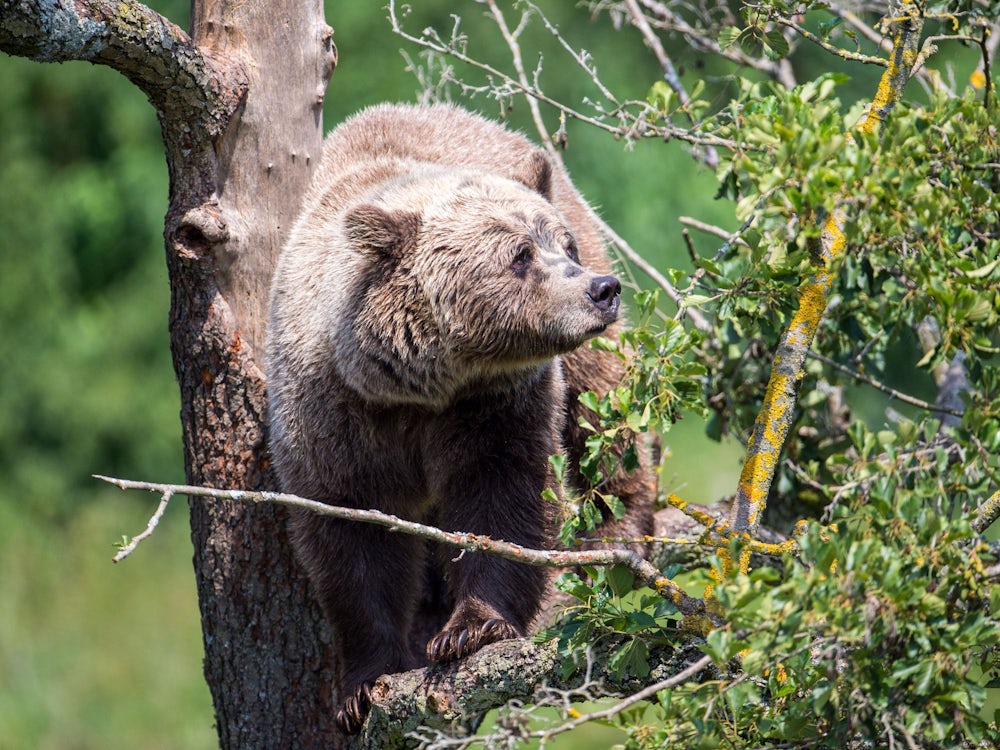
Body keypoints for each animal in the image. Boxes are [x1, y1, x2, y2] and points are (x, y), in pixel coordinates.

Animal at [266, 103, 656, 736]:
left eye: (562, 245)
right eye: (520, 255)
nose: (601, 289)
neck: (421, 385)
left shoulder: (495, 405)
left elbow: (504, 497)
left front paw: (472, 628)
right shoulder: (334, 417)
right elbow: (350, 535)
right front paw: (364, 683)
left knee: (603, 414)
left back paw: (617, 531)